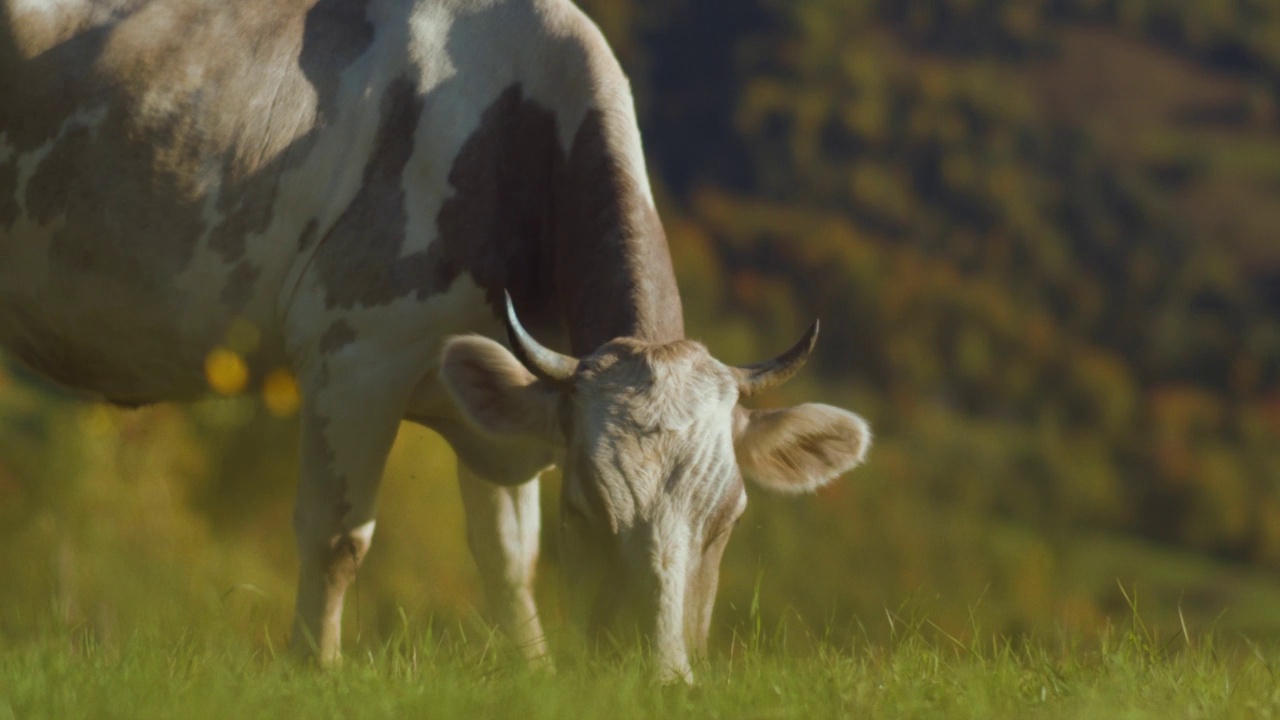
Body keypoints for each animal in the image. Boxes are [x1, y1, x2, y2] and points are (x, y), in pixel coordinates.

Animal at [0, 0, 870, 676]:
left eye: (729, 519)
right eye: (585, 508)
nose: (659, 680)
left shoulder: (501, 408)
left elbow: (508, 560)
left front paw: (534, 674)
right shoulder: (355, 352)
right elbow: (337, 540)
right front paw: (314, 672)